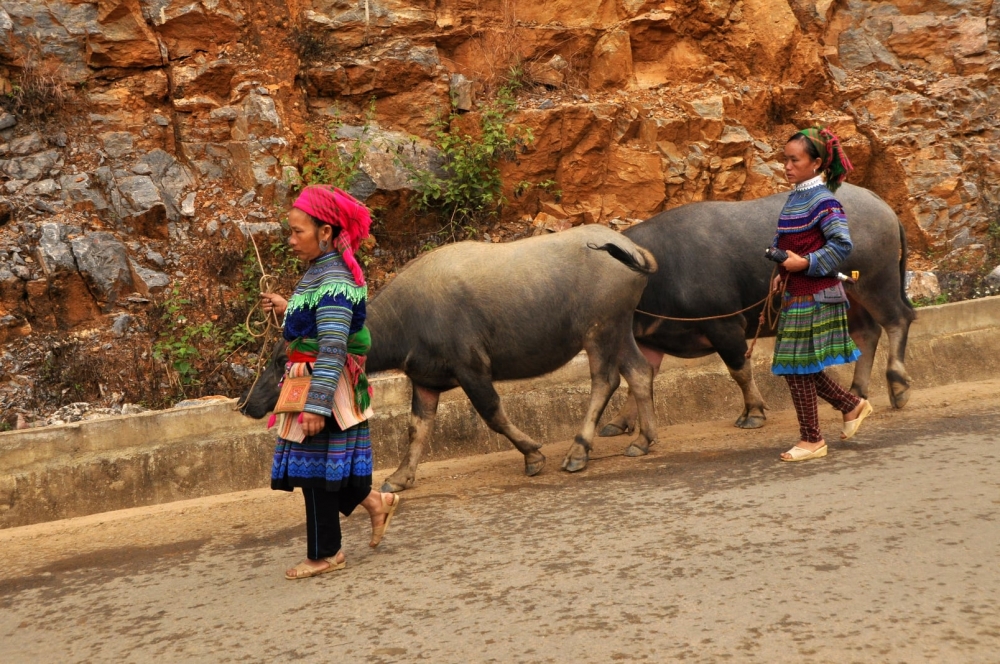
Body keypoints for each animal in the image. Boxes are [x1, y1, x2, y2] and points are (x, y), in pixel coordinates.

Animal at [242, 226, 660, 490]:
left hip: (599, 331)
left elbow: (493, 414)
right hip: (620, 328)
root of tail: (629, 248)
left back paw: (578, 451)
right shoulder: (425, 381)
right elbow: (417, 429)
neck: (408, 317)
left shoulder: (472, 369)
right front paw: (400, 477)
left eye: (281, 360)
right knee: (639, 372)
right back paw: (643, 440)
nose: (248, 405)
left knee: (605, 380)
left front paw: (533, 455)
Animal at [596, 182, 916, 436]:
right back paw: (857, 391)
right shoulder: (650, 339)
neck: (657, 271)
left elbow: (739, 370)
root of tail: (879, 202)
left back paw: (898, 387)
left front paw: (753, 413)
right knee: (867, 332)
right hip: (849, 295)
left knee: (898, 319)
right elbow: (640, 378)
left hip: (877, 283)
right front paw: (618, 422)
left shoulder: (724, 325)